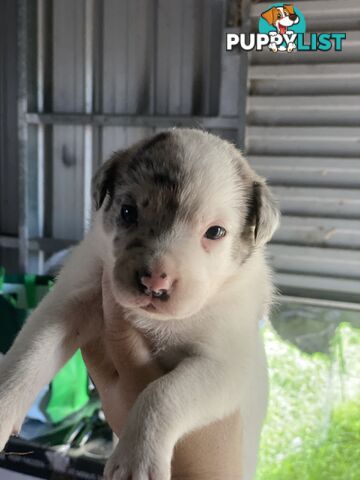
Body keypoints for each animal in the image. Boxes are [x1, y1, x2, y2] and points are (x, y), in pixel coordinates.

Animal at [0, 128, 278, 480]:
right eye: (128, 212)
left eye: (215, 232)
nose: (154, 283)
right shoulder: (69, 304)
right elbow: (30, 356)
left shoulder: (224, 363)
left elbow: (162, 392)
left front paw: (137, 459)